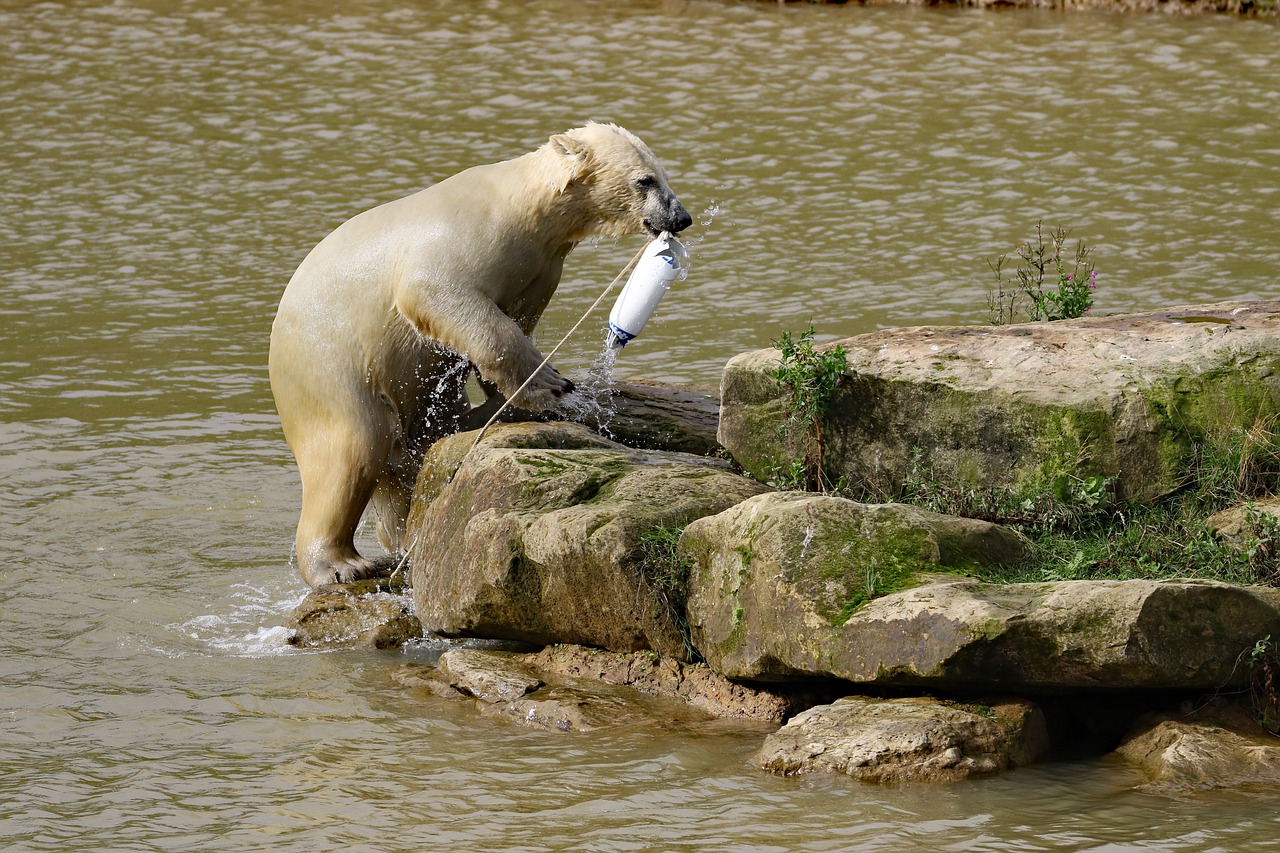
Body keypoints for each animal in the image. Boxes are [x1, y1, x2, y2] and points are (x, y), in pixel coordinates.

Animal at [267, 121, 691, 584]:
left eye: (662, 174)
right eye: (645, 180)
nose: (681, 217)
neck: (521, 207)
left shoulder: (540, 267)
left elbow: (516, 320)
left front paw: (518, 395)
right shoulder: (465, 239)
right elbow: (443, 297)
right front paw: (550, 385)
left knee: (412, 453)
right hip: (328, 370)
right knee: (353, 449)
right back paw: (343, 565)